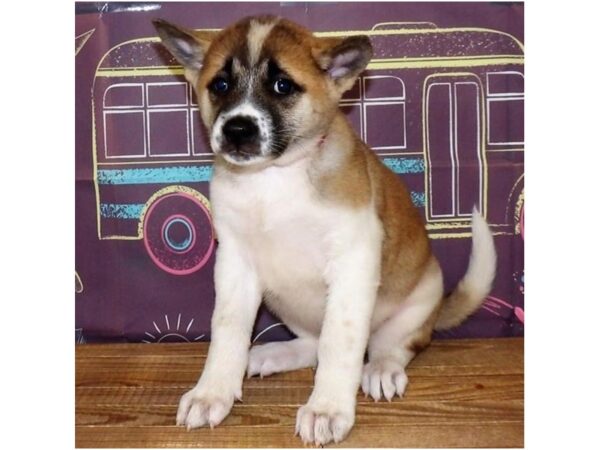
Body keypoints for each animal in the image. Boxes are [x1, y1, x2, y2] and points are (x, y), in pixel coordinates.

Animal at [155, 15, 496, 444]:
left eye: (283, 86)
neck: (273, 179)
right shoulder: (235, 265)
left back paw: (381, 369)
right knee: (312, 342)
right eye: (220, 85)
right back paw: (273, 353)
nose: (237, 129)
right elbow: (227, 329)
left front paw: (327, 408)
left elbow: (340, 342)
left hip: (417, 305)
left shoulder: (352, 263)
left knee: (390, 346)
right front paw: (211, 392)